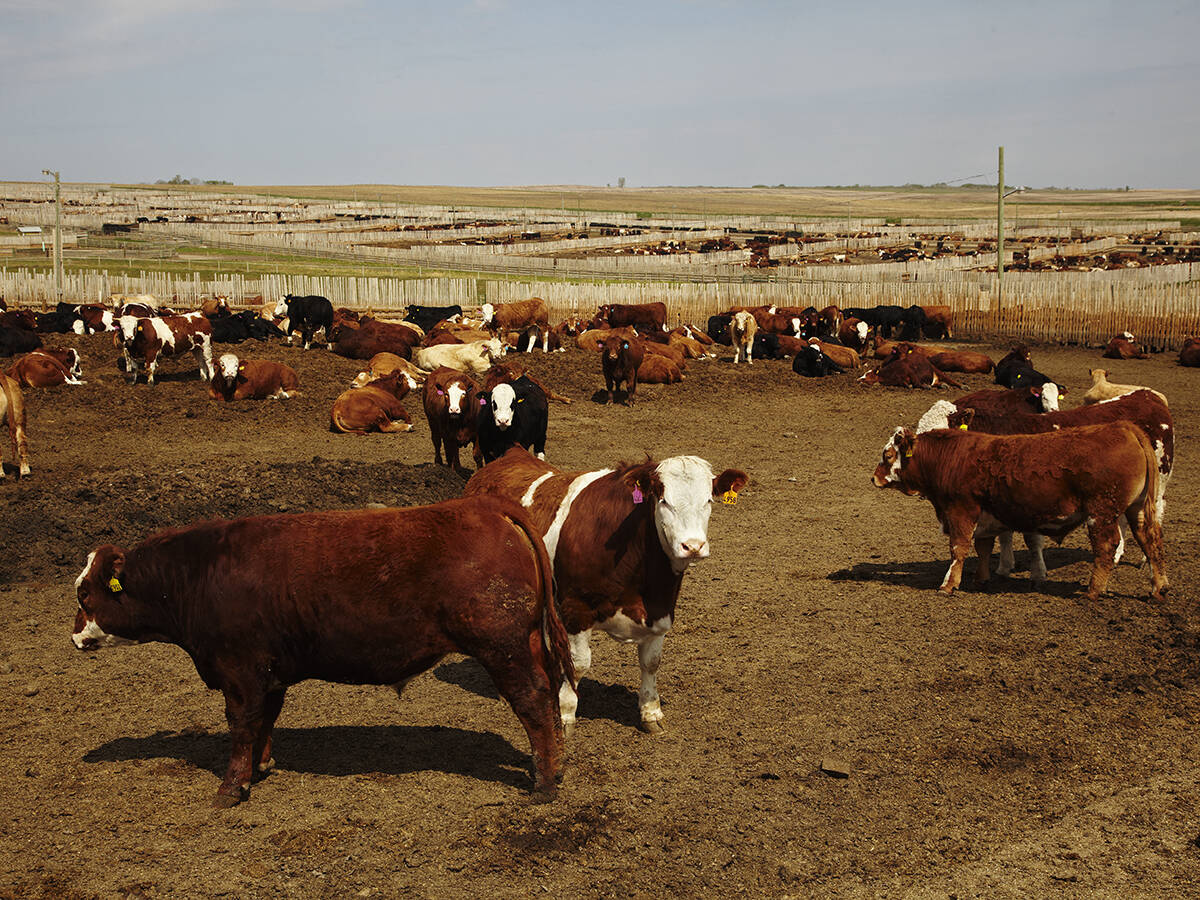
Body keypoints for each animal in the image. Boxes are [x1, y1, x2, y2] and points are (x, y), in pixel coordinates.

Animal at [70, 497, 573, 805]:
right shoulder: (268, 673)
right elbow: (264, 721)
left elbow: (241, 726)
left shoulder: (240, 672)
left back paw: (544, 785)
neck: (198, 574)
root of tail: (482, 507)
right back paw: (555, 767)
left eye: (85, 594)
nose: (74, 637)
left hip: (502, 647)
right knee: (549, 695)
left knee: (532, 700)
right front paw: (261, 767)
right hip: (526, 642)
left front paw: (232, 787)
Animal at [462, 447, 748, 734]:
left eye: (708, 501)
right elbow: (578, 664)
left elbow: (651, 662)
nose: (693, 546)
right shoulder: (576, 609)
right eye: (664, 500)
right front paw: (565, 714)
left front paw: (651, 713)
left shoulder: (661, 610)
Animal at [873, 421, 1168, 602]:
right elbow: (982, 548)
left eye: (888, 455)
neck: (950, 458)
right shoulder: (985, 517)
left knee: (1106, 547)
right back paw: (1159, 587)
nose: (874, 477)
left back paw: (1093, 591)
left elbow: (958, 549)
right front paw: (981, 579)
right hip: (1137, 509)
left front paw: (948, 585)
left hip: (1102, 513)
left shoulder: (960, 511)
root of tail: (1124, 427)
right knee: (1150, 541)